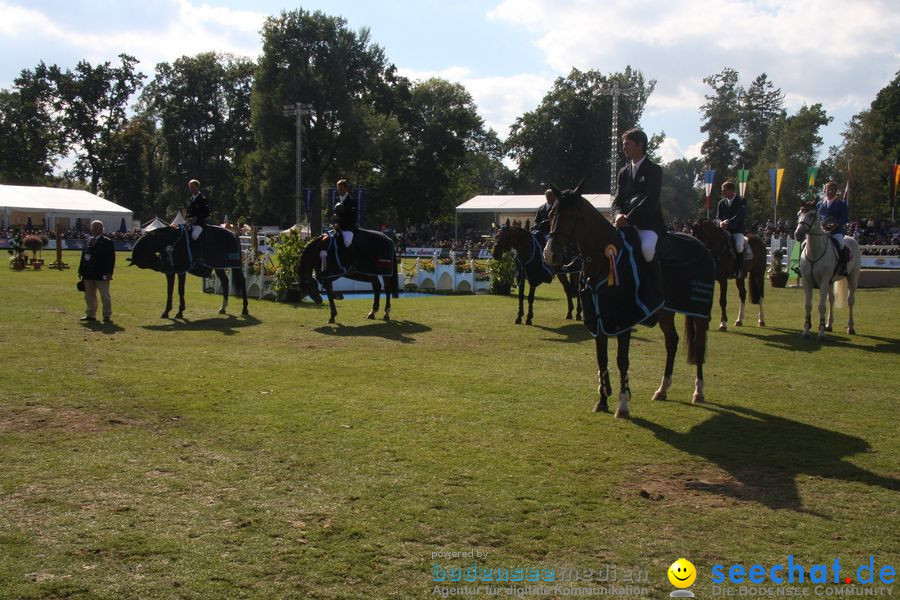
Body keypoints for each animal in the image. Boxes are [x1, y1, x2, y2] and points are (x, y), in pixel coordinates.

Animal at [540, 183, 712, 418]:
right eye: (550, 214)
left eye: (573, 214)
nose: (550, 254)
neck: (604, 263)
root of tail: (701, 244)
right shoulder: (599, 320)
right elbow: (602, 358)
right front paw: (602, 400)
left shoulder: (623, 321)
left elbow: (622, 360)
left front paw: (622, 404)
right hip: (665, 311)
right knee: (672, 342)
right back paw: (662, 389)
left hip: (699, 311)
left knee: (699, 345)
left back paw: (699, 391)